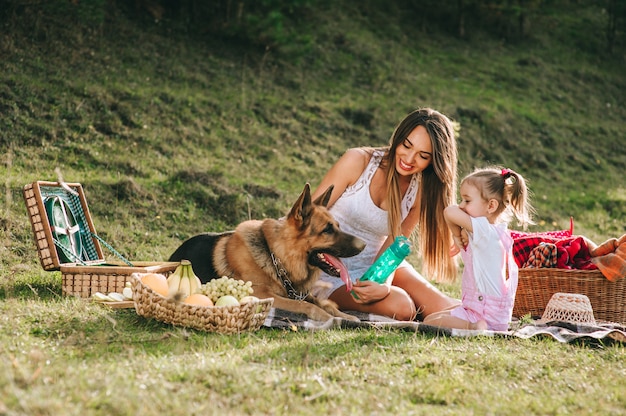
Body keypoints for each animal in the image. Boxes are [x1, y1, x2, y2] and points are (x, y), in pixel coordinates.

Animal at [168, 184, 368, 324]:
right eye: (327, 230)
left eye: (338, 226)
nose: (364, 244)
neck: (276, 256)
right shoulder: (262, 294)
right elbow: (306, 305)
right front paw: (330, 318)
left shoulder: (299, 293)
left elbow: (321, 302)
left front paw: (345, 316)